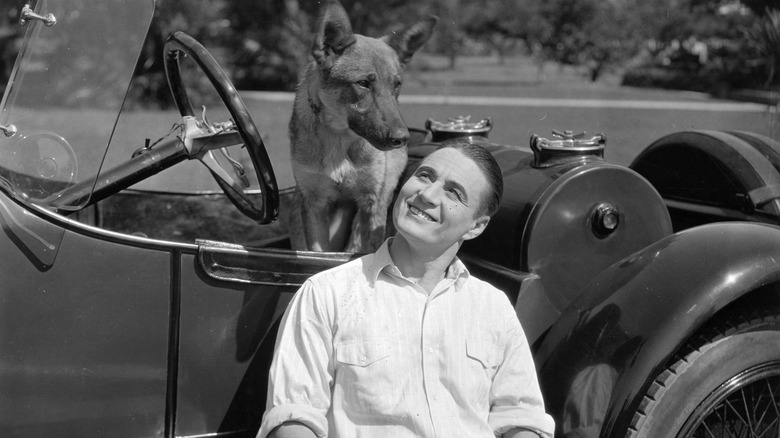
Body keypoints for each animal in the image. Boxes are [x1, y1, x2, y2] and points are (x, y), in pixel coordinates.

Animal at [286, 0, 436, 253]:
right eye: (363, 83)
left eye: (397, 85)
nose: (402, 138)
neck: (339, 137)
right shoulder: (315, 204)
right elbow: (317, 253)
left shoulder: (371, 202)